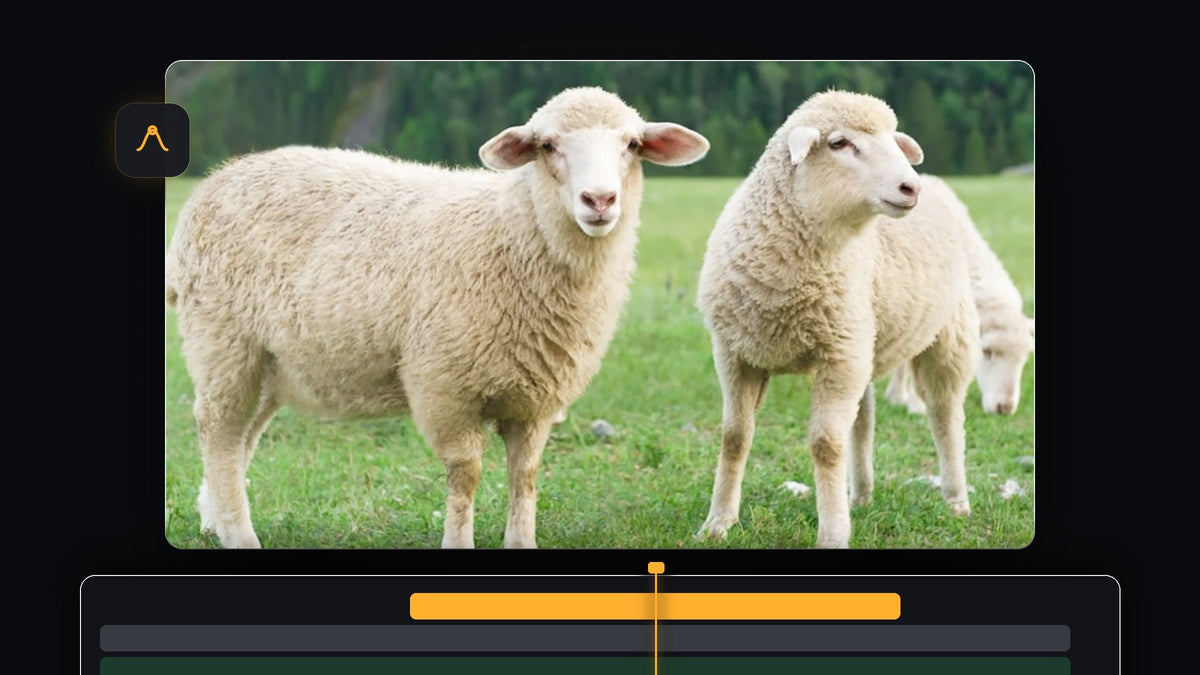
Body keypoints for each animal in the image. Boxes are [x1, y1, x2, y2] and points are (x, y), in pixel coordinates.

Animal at [164, 86, 710, 549]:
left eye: (633, 144)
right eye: (548, 145)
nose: (599, 200)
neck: (512, 233)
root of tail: (216, 180)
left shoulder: (536, 397)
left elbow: (525, 476)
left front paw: (521, 543)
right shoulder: (446, 387)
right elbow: (465, 475)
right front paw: (458, 542)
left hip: (269, 361)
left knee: (242, 436)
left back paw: (215, 520)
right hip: (222, 341)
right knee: (219, 431)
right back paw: (239, 534)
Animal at [694, 90, 979, 549]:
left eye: (894, 141)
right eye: (839, 143)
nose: (910, 187)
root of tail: (937, 183)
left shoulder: (838, 356)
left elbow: (826, 445)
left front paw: (832, 533)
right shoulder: (735, 354)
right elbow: (734, 438)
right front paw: (717, 523)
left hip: (946, 335)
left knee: (945, 416)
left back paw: (956, 501)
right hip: (863, 341)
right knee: (864, 420)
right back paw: (860, 495)